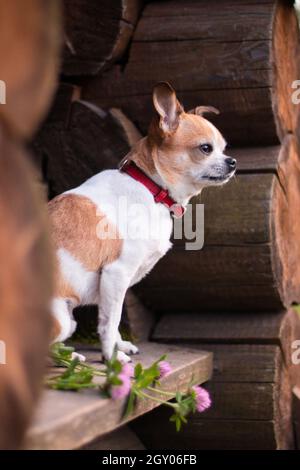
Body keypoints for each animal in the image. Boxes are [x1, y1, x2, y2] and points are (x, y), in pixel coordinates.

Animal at [48, 82, 236, 364]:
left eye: (224, 148)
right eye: (205, 148)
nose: (232, 161)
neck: (150, 187)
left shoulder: (114, 286)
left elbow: (112, 320)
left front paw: (120, 346)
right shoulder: (117, 273)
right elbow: (109, 322)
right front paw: (111, 359)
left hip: (69, 320)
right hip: (59, 318)